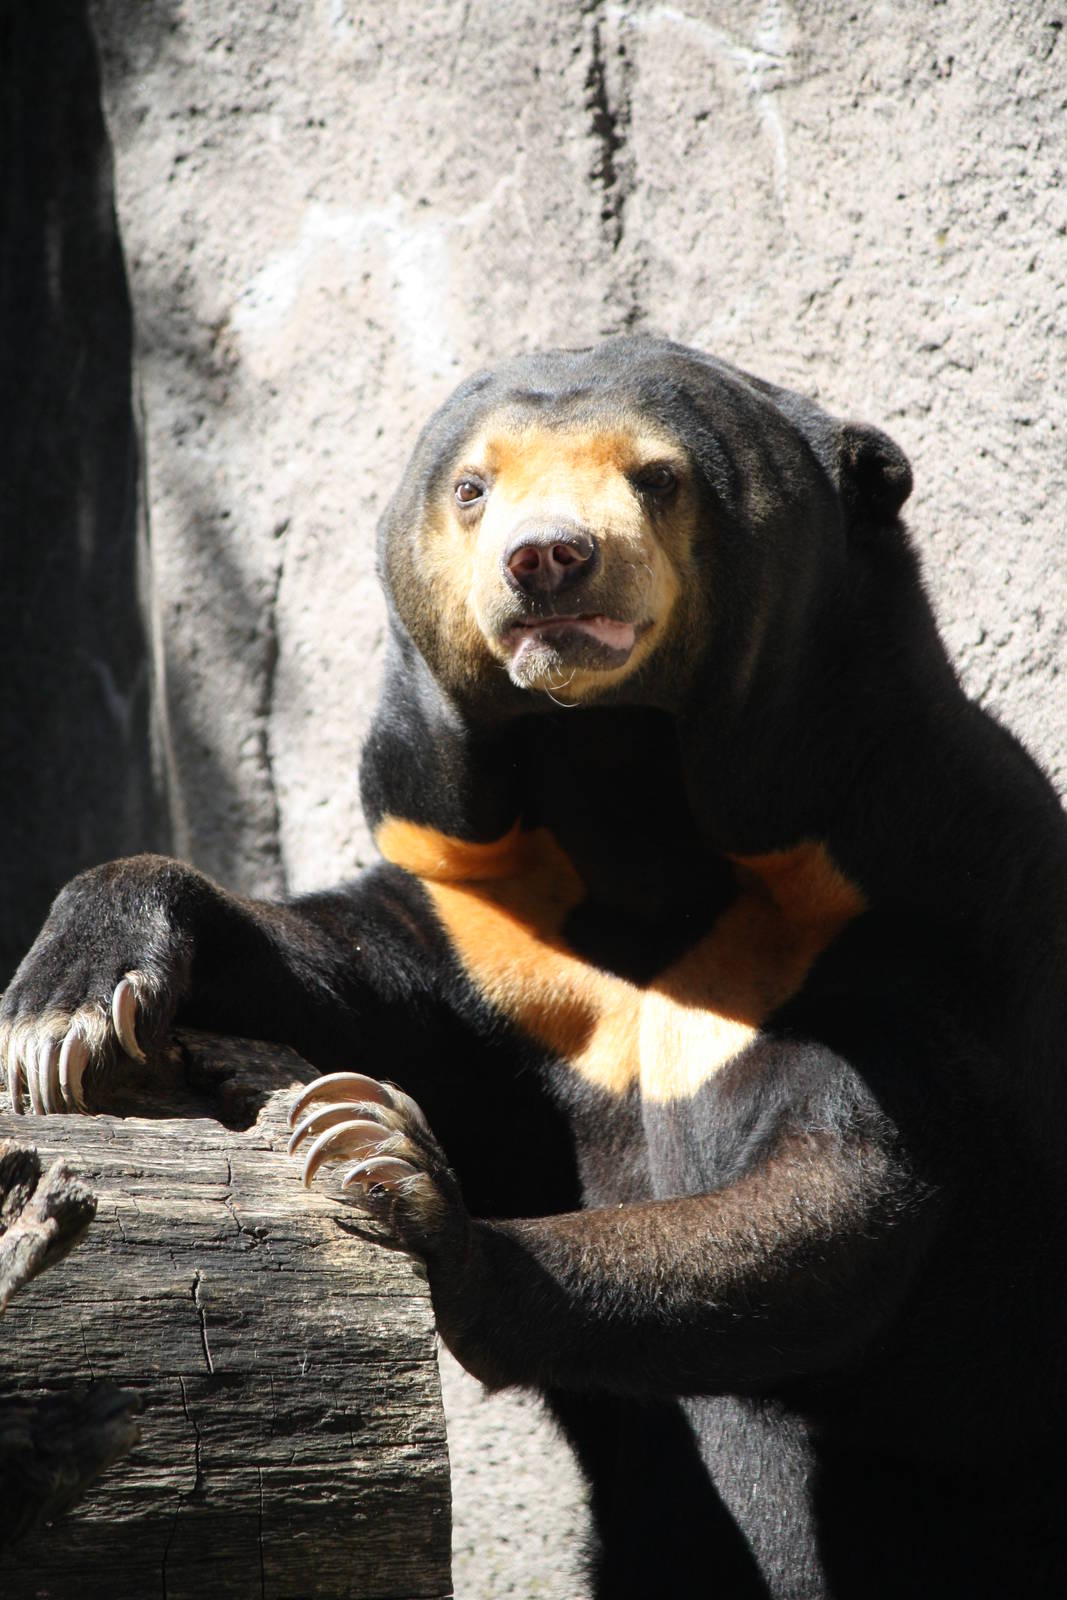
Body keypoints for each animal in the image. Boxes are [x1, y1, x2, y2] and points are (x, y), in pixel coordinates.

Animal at [2, 335, 1066, 1598]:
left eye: (657, 476)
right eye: (472, 486)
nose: (547, 558)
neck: (623, 781)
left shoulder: (891, 904)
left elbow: (845, 1189)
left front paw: (387, 1172)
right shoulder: (494, 930)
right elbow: (349, 969)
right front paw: (69, 1015)